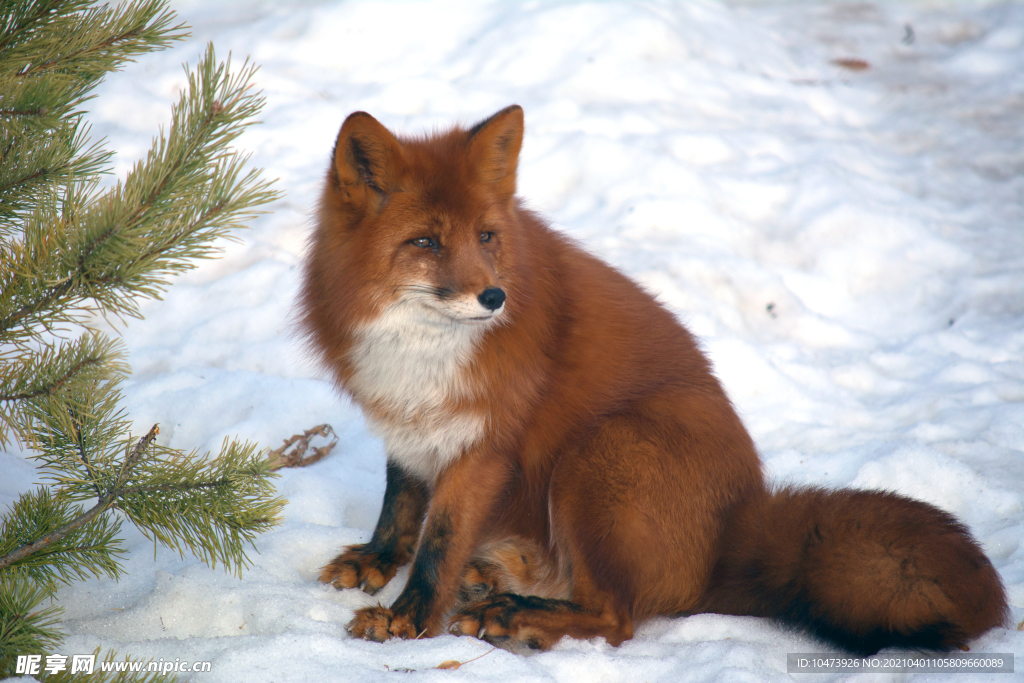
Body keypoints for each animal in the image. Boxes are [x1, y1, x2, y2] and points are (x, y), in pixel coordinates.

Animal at [301, 105, 1007, 651]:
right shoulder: (410, 423)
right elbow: (401, 507)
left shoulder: (483, 446)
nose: (495, 297)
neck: (419, 351)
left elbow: (439, 544)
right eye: (425, 242)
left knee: (616, 618)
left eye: (486, 237)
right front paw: (375, 560)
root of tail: (735, 528)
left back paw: (517, 617)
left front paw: (407, 621)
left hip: (598, 452)